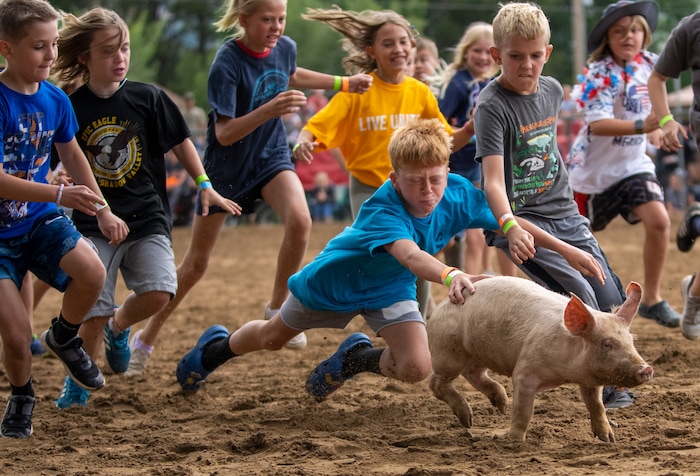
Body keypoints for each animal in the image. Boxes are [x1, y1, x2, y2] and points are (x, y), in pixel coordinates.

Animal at [430, 276, 652, 442]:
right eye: (607, 343)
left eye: (631, 340)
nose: (646, 369)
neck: (567, 373)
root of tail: (440, 307)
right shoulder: (525, 371)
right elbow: (523, 410)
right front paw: (512, 441)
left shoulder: (590, 380)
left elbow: (596, 405)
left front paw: (608, 439)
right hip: (448, 351)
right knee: (437, 383)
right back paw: (469, 421)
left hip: (480, 352)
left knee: (472, 373)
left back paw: (501, 406)